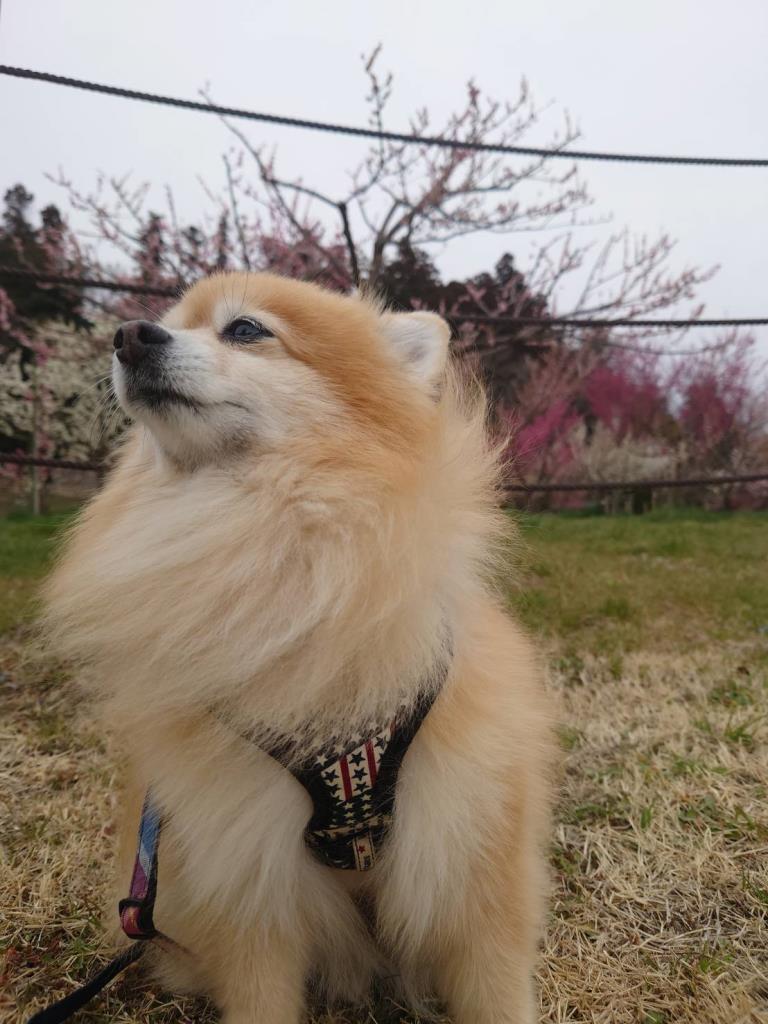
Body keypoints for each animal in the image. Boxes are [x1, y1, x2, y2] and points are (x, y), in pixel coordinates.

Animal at [43, 272, 553, 1023]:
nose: (130, 335)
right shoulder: (249, 867)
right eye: (168, 321)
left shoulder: (468, 849)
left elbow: (494, 987)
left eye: (245, 330)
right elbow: (261, 991)